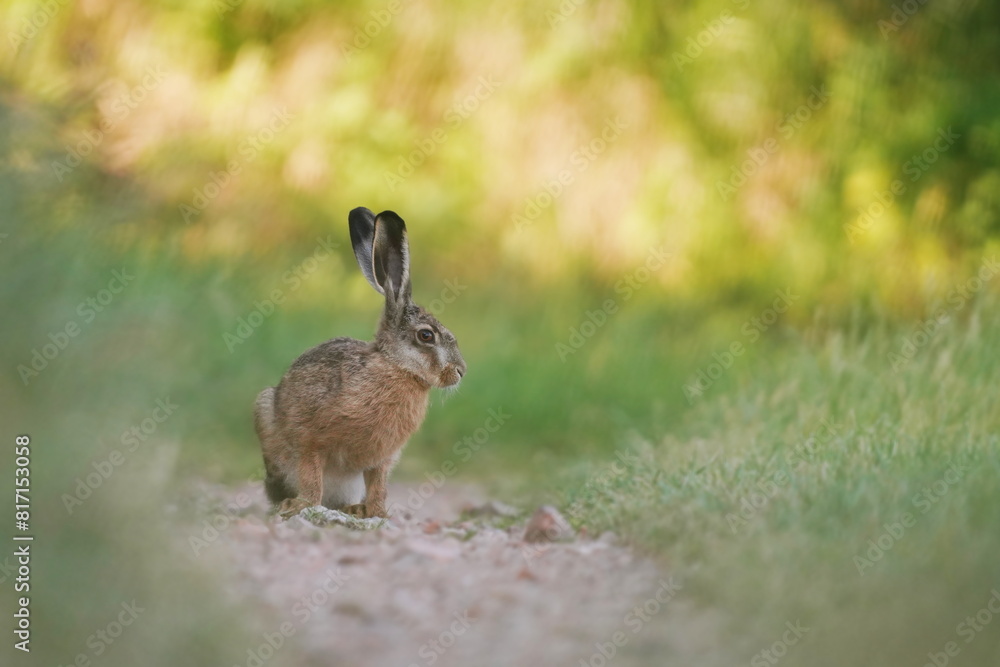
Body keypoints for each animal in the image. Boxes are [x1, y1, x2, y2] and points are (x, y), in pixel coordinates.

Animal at [253, 207, 467, 519]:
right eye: (426, 335)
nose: (461, 372)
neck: (394, 366)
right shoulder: (309, 441)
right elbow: (311, 475)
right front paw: (303, 505)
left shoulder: (383, 459)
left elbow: (379, 484)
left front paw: (377, 513)